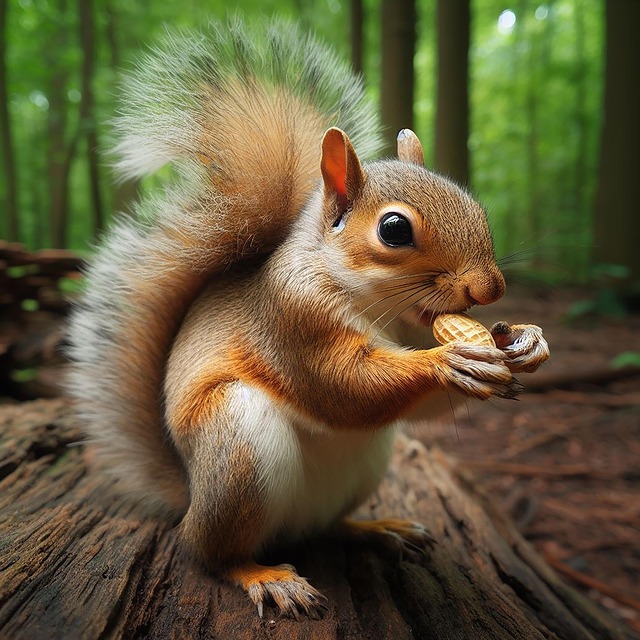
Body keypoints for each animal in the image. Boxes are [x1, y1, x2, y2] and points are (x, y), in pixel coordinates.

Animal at [67, 17, 549, 618]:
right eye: (394, 230)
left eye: (474, 204)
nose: (491, 287)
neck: (373, 303)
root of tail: (190, 490)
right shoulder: (292, 320)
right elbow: (341, 384)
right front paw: (449, 361)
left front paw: (524, 341)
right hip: (237, 446)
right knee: (207, 550)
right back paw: (263, 575)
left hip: (364, 465)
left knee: (327, 527)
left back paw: (375, 528)